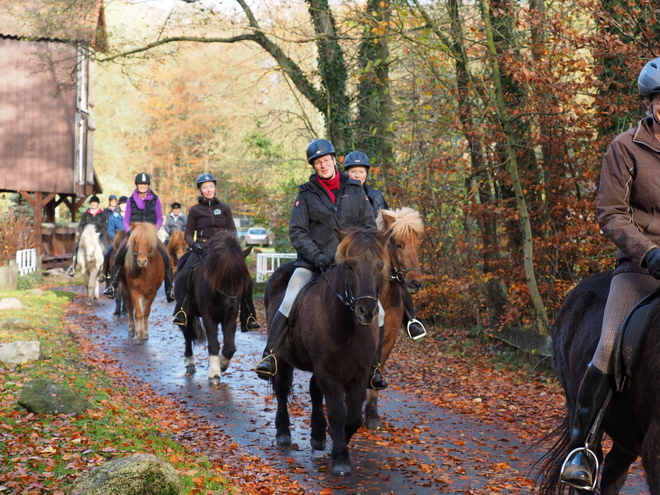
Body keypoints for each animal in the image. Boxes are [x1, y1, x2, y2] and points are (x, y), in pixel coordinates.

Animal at [262, 229, 386, 476]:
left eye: (380, 266)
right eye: (349, 266)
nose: (367, 311)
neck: (348, 328)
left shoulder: (358, 374)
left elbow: (353, 418)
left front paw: (336, 441)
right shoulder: (328, 371)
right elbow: (338, 413)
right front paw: (340, 458)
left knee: (314, 391)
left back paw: (318, 436)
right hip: (283, 358)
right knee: (282, 389)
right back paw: (283, 433)